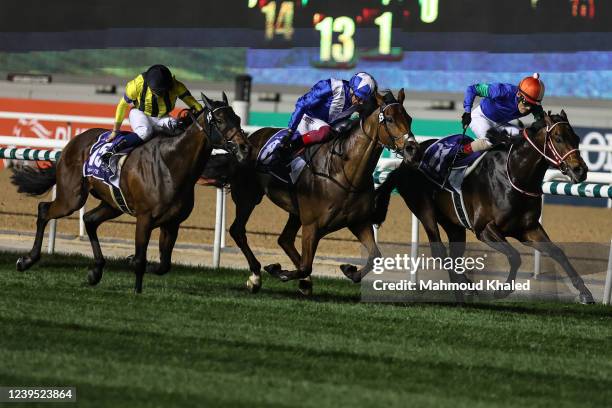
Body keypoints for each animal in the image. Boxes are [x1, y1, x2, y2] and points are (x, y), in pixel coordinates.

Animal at [10, 93, 249, 292]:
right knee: (45, 210)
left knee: (89, 220)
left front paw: (130, 261)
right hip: (72, 197)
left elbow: (163, 265)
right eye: (219, 120)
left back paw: (96, 270)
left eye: (237, 118)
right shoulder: (145, 218)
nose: (244, 147)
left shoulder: (172, 223)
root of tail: (74, 142)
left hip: (112, 203)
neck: (171, 165)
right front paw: (136, 289)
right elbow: (142, 259)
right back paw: (26, 260)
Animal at [220, 90, 420, 294]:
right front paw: (277, 270)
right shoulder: (312, 225)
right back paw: (255, 277)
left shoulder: (358, 222)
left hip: (295, 211)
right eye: (389, 119)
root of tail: (249, 139)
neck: (343, 172)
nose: (413, 149)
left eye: (409, 118)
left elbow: (375, 256)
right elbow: (305, 266)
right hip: (247, 198)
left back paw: (303, 281)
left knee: (285, 239)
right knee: (238, 231)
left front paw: (349, 270)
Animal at [372, 111, 592, 302]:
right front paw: (502, 290)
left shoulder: (528, 229)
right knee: (440, 251)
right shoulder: (484, 229)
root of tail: (403, 164)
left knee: (454, 255)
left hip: (453, 223)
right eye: (558, 138)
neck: (514, 176)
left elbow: (557, 252)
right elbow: (515, 256)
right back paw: (467, 286)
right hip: (424, 210)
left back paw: (462, 292)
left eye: (576, 137)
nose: (580, 170)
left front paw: (584, 292)